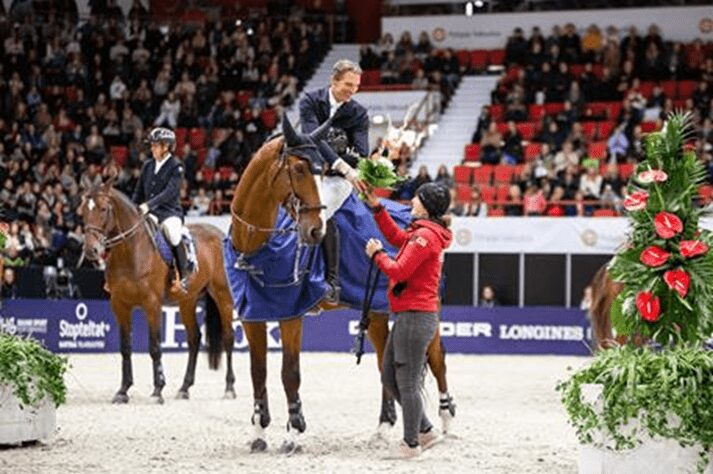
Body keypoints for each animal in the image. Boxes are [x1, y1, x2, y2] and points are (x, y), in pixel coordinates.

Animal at [79, 176, 236, 406]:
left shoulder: (151, 304)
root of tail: (219, 233)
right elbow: (125, 348)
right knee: (194, 338)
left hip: (223, 297)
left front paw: (158, 390)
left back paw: (229, 388)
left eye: (103, 208)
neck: (131, 251)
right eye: (83, 210)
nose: (91, 250)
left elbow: (154, 347)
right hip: (187, 301)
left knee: (228, 337)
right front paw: (123, 391)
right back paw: (184, 388)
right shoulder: (120, 305)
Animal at [225, 116, 454, 454]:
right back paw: (383, 427)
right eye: (298, 169)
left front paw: (293, 434)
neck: (257, 246)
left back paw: (446, 419)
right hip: (377, 311)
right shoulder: (253, 314)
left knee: (437, 358)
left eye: (320, 169)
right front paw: (259, 432)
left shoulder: (291, 315)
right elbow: (258, 372)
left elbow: (289, 373)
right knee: (385, 361)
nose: (315, 231)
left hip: (428, 309)